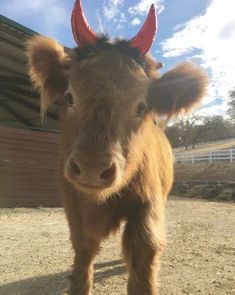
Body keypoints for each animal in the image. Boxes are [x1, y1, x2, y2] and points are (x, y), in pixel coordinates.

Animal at [27, 9, 207, 295]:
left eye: (141, 106)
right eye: (69, 97)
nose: (92, 168)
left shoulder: (147, 208)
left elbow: (142, 255)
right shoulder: (74, 207)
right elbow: (83, 255)